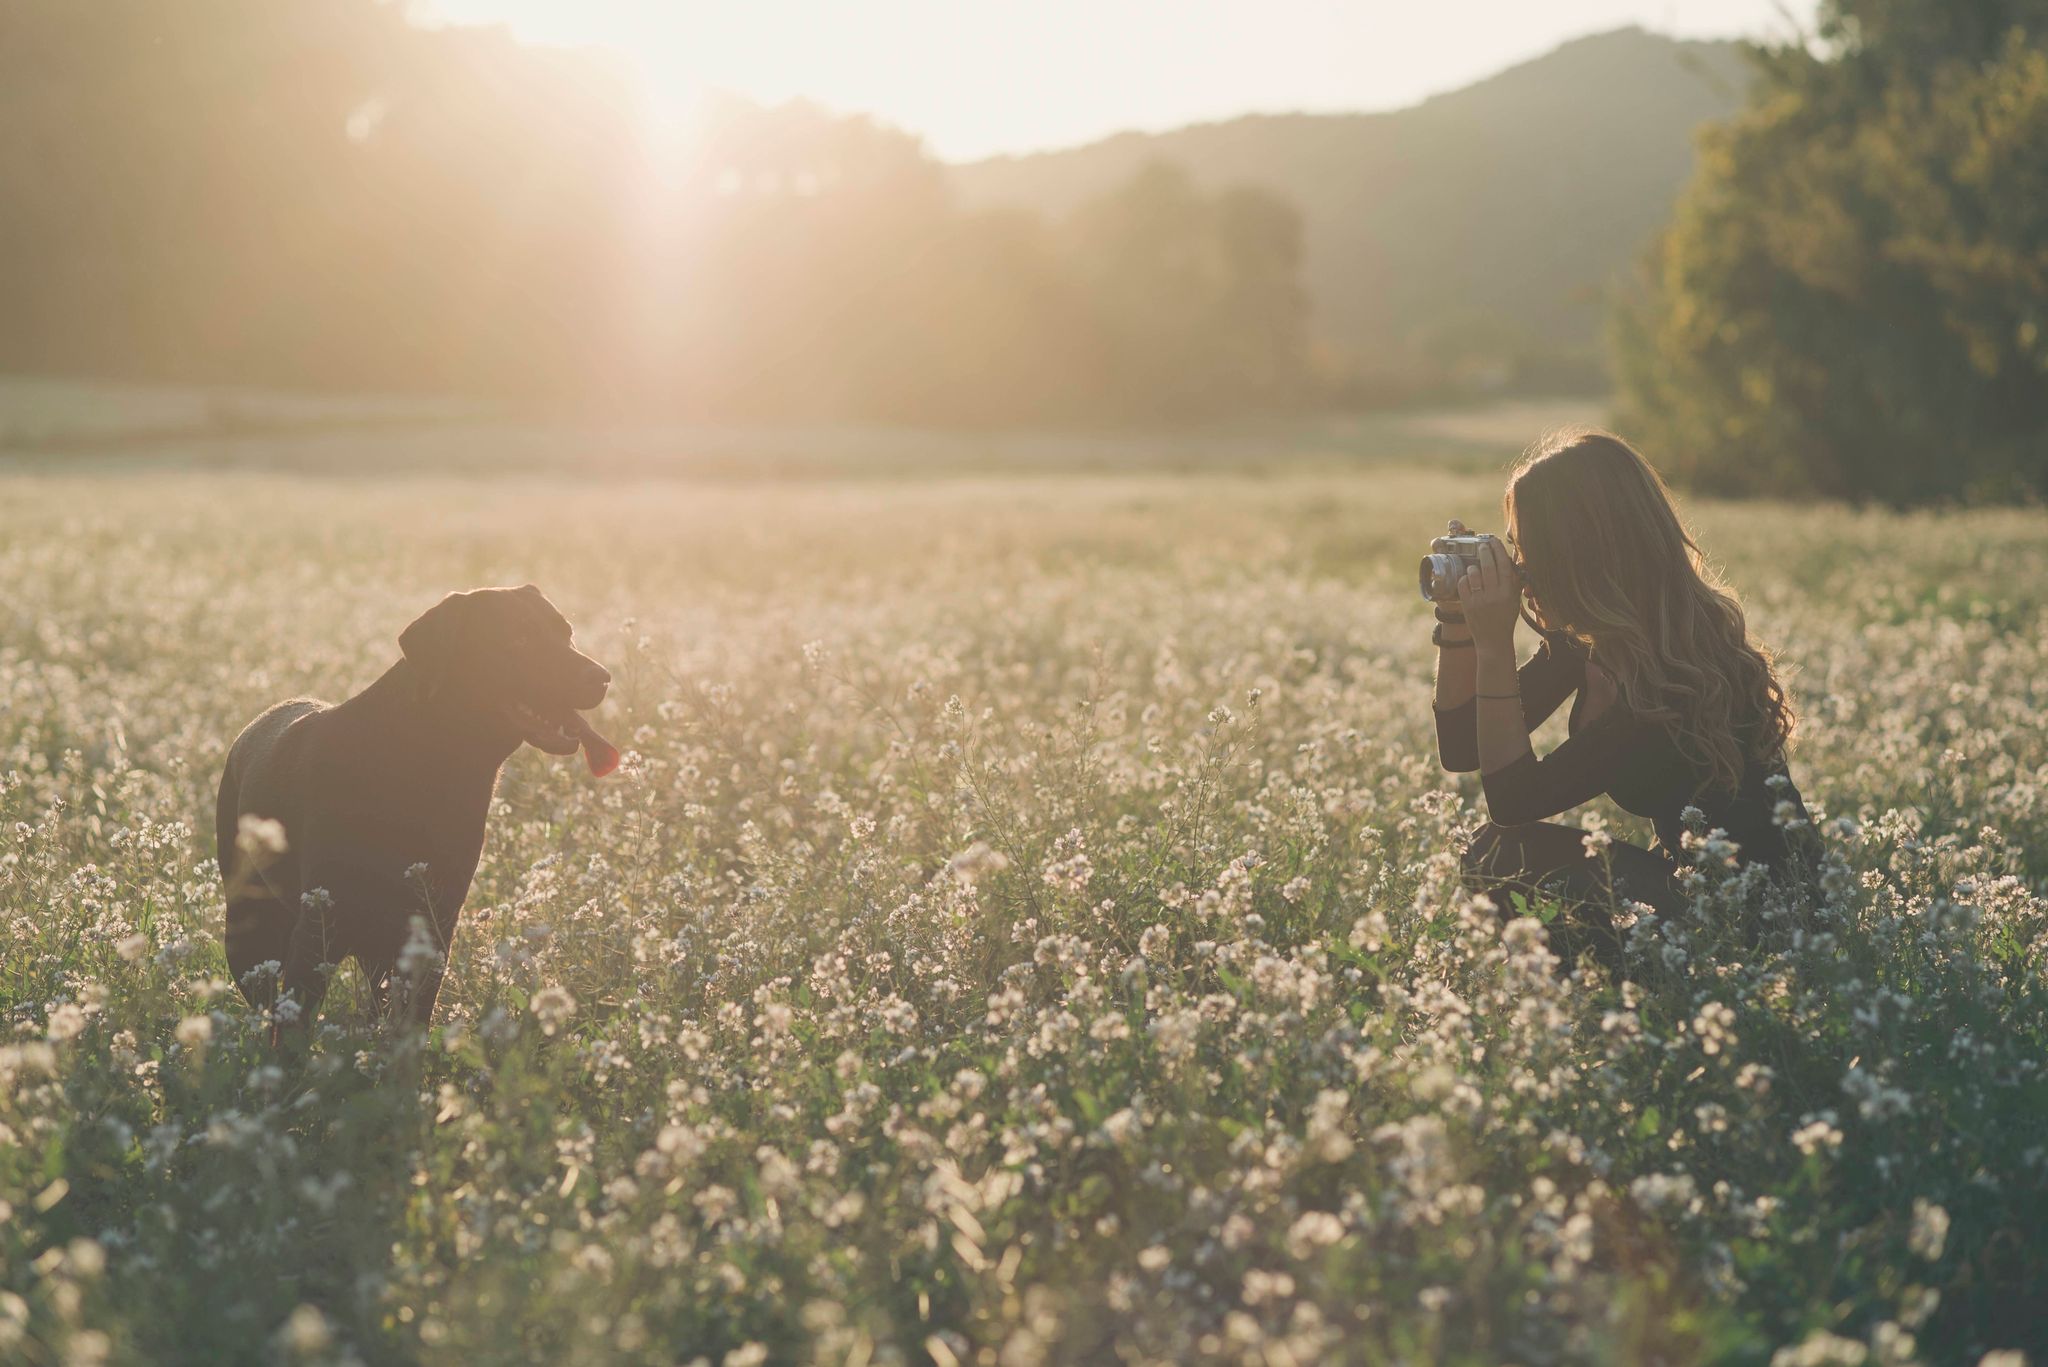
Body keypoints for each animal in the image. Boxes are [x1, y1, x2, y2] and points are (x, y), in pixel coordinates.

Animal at [216, 586, 618, 1037]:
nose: (601, 677)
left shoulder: (435, 924)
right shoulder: (319, 926)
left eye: (567, 634)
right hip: (250, 930)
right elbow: (291, 1033)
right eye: (520, 638)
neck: (426, 762)